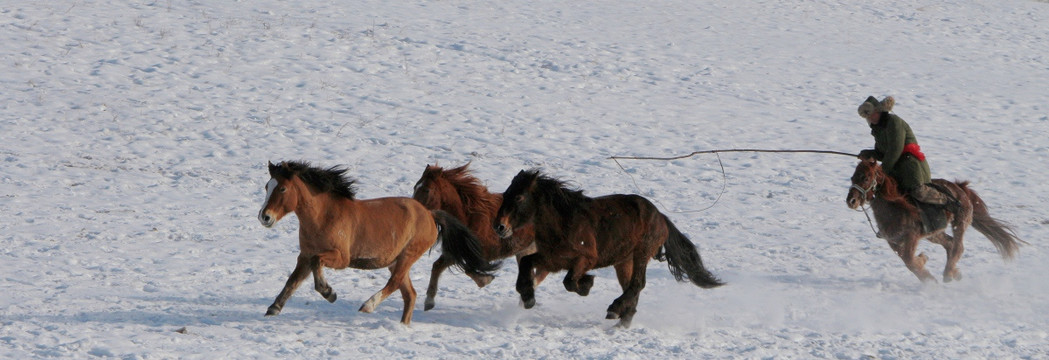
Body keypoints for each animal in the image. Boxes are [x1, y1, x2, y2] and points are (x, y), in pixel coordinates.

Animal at [255, 162, 497, 325]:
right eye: (267, 186)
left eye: (282, 189)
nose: (265, 217)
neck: (323, 216)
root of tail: (430, 214)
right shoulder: (304, 255)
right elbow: (292, 281)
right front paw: (273, 309)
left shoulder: (340, 258)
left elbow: (316, 264)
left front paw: (329, 292)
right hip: (395, 260)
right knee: (409, 294)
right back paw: (403, 326)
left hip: (408, 255)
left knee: (395, 283)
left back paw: (368, 305)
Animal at [409, 164, 549, 310]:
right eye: (415, 187)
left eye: (427, 190)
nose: (414, 211)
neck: (469, 217)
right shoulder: (455, 252)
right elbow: (437, 266)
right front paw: (429, 302)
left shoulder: (479, 253)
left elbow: (468, 269)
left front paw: (485, 280)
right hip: (525, 251)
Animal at [490, 171, 721, 329]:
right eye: (505, 194)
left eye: (519, 197)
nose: (499, 227)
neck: (563, 222)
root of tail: (661, 217)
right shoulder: (552, 259)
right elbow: (527, 263)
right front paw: (528, 296)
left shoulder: (585, 259)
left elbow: (569, 281)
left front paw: (586, 284)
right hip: (623, 261)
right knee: (632, 287)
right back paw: (622, 320)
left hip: (641, 254)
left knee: (637, 284)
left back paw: (614, 310)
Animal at [843, 159, 1023, 283]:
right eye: (853, 177)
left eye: (866, 178)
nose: (851, 201)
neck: (894, 206)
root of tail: (960, 187)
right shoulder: (893, 241)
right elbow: (907, 260)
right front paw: (923, 263)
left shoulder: (911, 237)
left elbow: (909, 260)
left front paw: (927, 275)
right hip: (934, 233)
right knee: (950, 244)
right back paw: (954, 272)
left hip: (959, 222)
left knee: (958, 246)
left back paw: (948, 273)